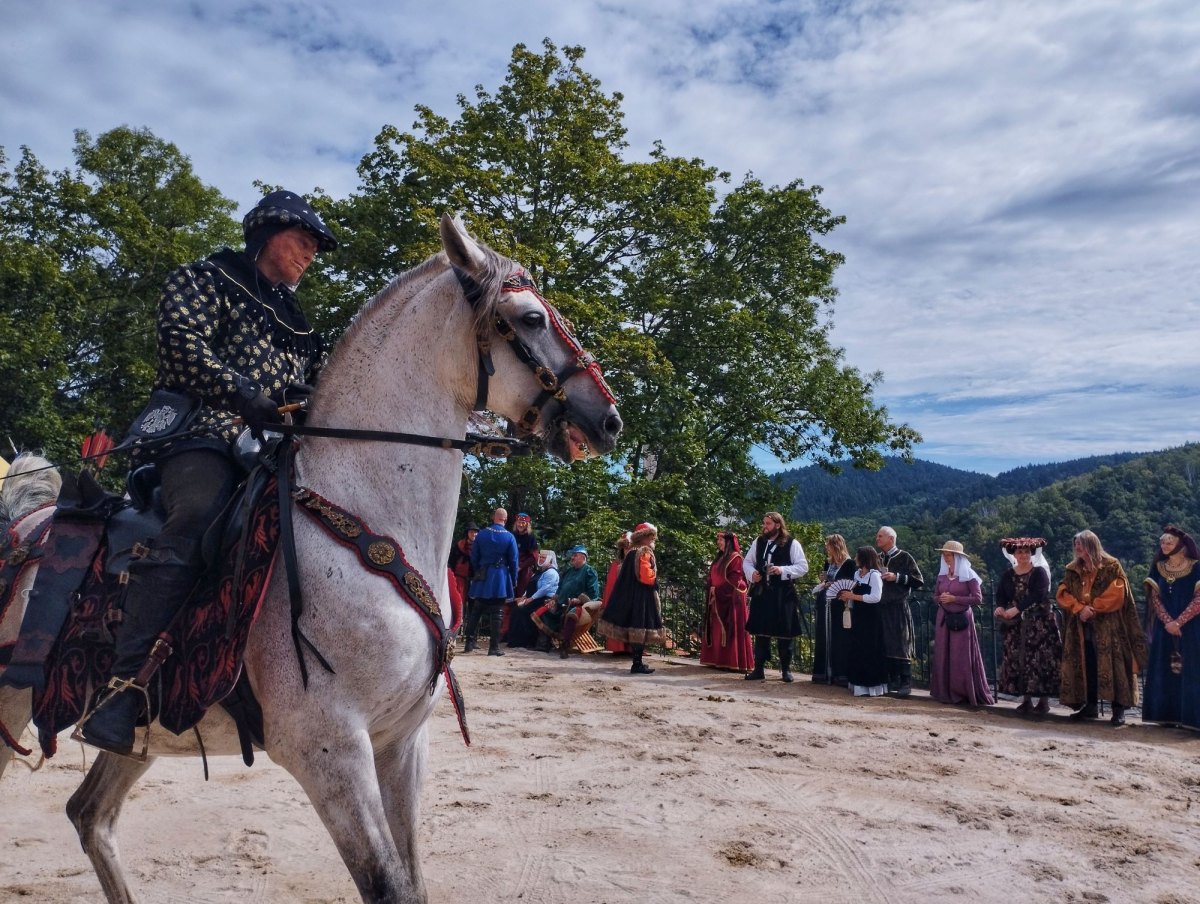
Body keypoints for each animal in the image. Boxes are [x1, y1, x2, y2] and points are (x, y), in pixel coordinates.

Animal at [0, 214, 619, 897]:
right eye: (531, 319)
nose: (608, 418)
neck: (364, 518)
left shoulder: (402, 744)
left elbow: (413, 882)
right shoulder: (329, 751)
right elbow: (388, 884)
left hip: (137, 735)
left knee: (91, 816)